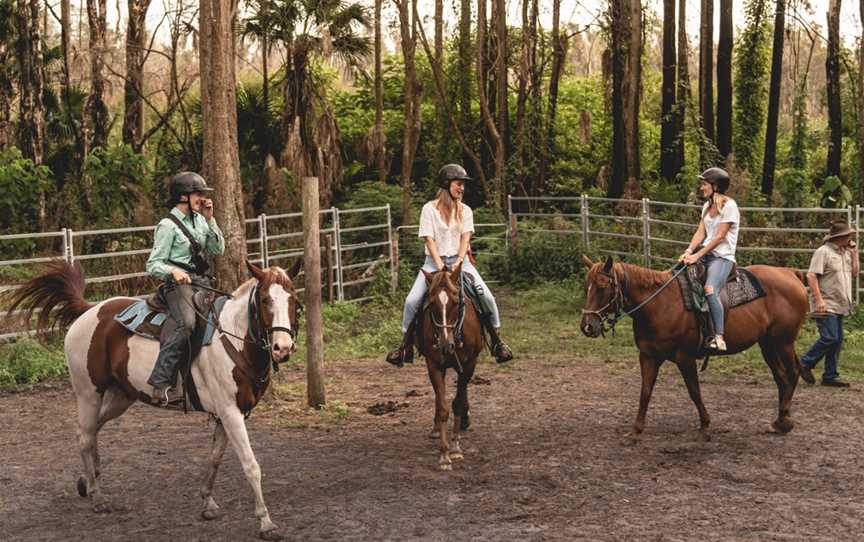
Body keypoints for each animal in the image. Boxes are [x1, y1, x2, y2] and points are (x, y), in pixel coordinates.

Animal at [3, 262, 302, 540]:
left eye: (293, 299)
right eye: (264, 299)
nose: (283, 348)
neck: (232, 337)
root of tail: (89, 310)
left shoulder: (229, 414)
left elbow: (215, 459)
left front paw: (207, 502)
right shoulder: (230, 412)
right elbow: (251, 465)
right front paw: (266, 523)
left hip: (121, 396)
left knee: (92, 431)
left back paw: (88, 480)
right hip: (88, 393)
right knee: (85, 437)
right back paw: (98, 497)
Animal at [418, 264, 486, 472]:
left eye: (456, 302)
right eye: (431, 303)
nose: (446, 345)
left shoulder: (469, 364)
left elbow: (457, 403)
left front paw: (455, 447)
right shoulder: (434, 365)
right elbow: (442, 407)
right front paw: (444, 455)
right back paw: (435, 429)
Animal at [580, 258, 808, 442]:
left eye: (602, 287)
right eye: (586, 286)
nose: (587, 326)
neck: (659, 304)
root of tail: (790, 274)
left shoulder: (685, 358)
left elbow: (694, 392)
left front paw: (705, 427)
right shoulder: (648, 356)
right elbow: (645, 392)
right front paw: (636, 431)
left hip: (783, 342)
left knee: (792, 373)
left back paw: (784, 420)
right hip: (768, 344)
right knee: (780, 378)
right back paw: (780, 421)